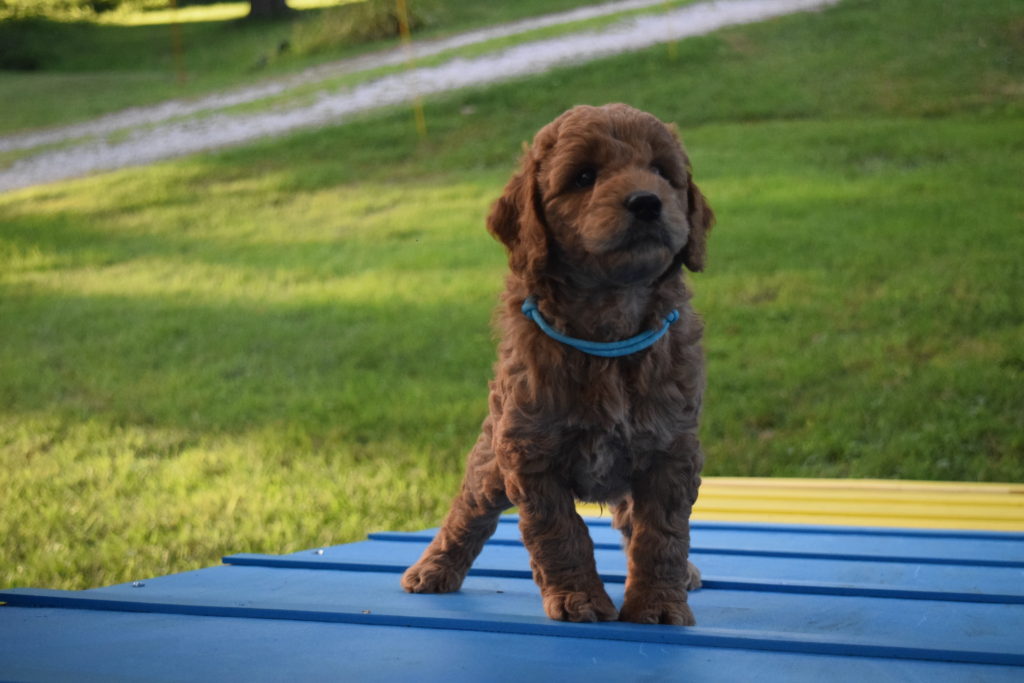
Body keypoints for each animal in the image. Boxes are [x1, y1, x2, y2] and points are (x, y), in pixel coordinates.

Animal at [399, 102, 712, 626]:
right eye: (584, 177)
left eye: (662, 172)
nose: (648, 202)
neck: (609, 327)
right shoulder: (528, 454)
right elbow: (560, 531)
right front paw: (579, 598)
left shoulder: (670, 450)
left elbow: (661, 535)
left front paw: (658, 604)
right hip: (491, 459)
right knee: (468, 510)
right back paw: (432, 569)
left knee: (632, 519)